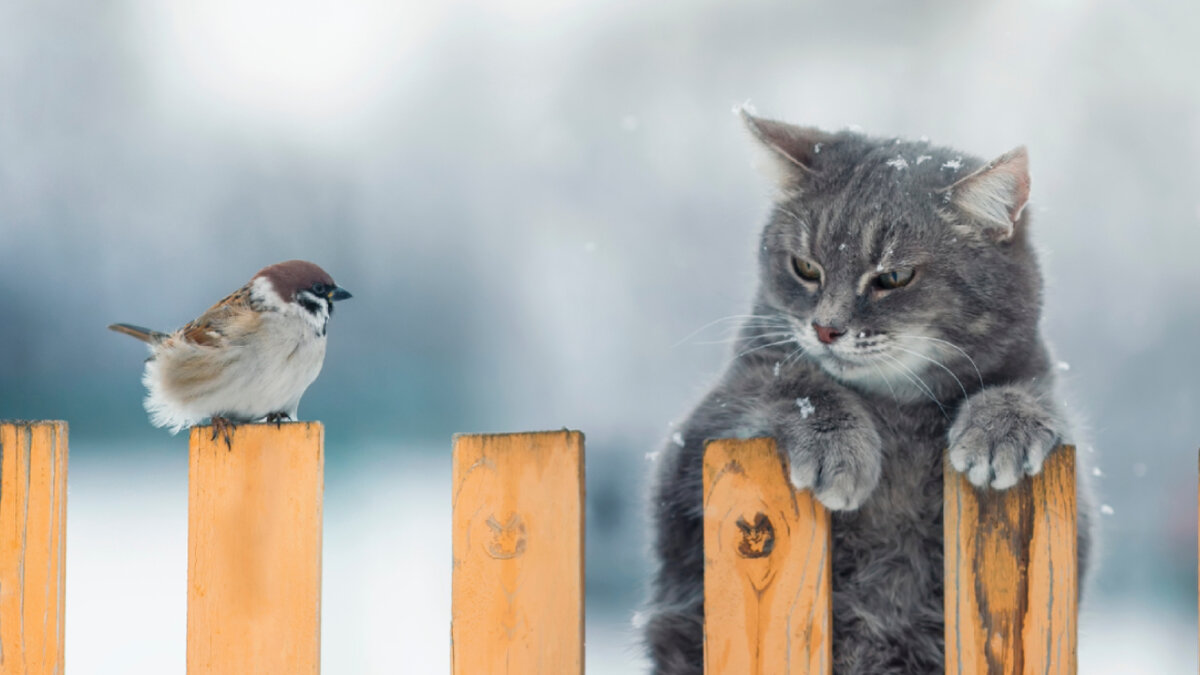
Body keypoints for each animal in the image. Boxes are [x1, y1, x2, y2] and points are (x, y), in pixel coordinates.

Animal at [648, 112, 1099, 667]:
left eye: (894, 277)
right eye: (805, 268)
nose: (825, 328)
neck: (896, 407)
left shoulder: (1075, 512)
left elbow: (1029, 396)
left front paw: (1001, 428)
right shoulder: (698, 436)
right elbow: (788, 380)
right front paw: (838, 446)